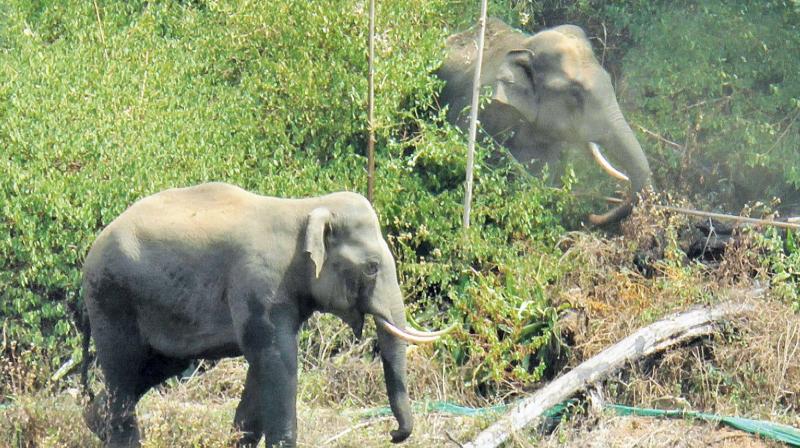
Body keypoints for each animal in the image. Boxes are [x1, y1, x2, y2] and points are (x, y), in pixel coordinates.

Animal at [80, 183, 450, 448]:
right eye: (372, 267)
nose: (394, 435)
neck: (305, 207)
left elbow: (260, 372)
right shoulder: (261, 286)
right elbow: (277, 361)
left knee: (151, 368)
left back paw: (93, 421)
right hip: (112, 299)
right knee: (123, 371)